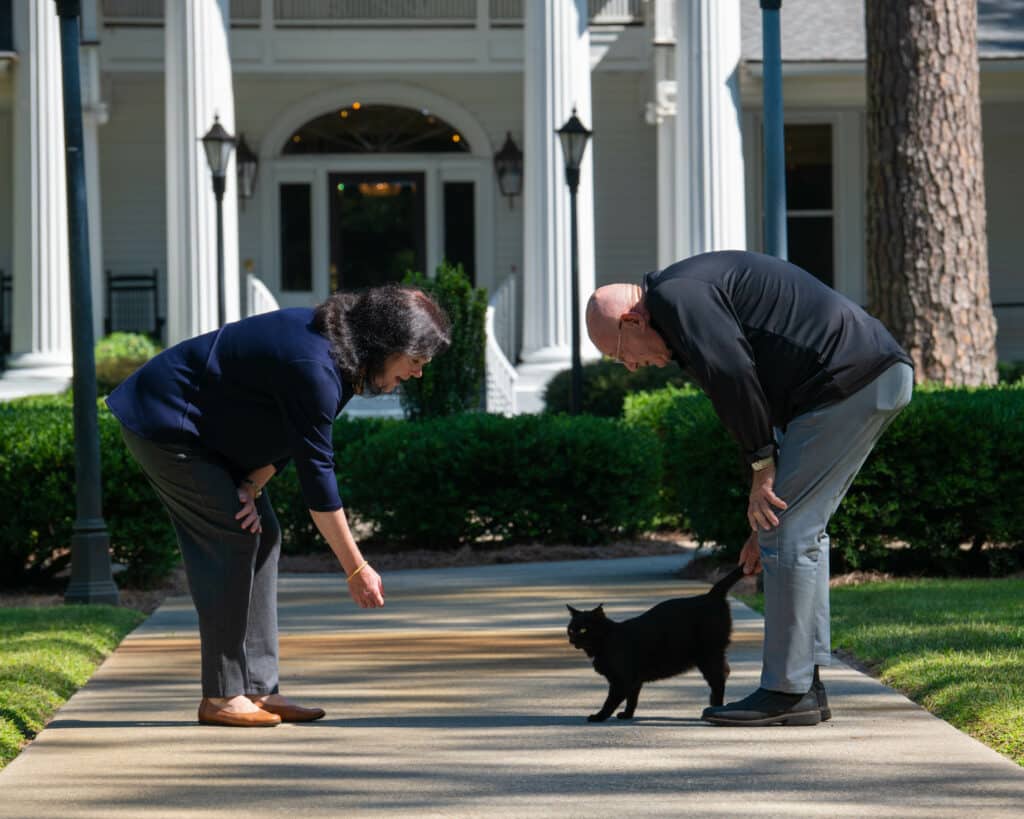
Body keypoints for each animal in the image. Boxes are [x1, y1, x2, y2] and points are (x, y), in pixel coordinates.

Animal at [569, 565, 745, 720]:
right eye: (571, 629)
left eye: (583, 629)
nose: (572, 639)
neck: (607, 640)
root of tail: (711, 595)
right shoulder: (634, 680)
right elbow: (632, 699)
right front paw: (627, 715)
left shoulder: (621, 681)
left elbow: (610, 702)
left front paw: (598, 716)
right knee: (724, 672)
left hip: (708, 655)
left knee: (719, 678)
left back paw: (716, 707)